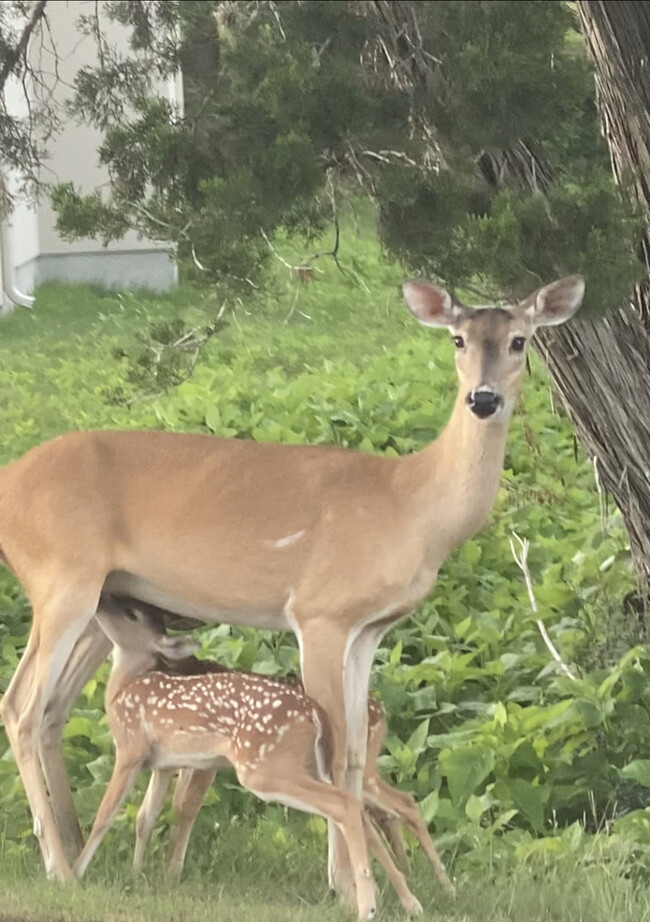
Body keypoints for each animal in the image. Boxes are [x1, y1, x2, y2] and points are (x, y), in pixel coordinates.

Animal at [0, 272, 584, 900]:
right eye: (457, 339)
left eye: (520, 340)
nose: (483, 398)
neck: (413, 506)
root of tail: (9, 480)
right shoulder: (320, 612)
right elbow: (333, 749)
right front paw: (351, 888)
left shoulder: (370, 629)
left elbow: (351, 757)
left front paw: (353, 883)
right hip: (62, 579)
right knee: (22, 707)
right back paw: (61, 867)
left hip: (102, 602)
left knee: (53, 709)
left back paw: (73, 846)